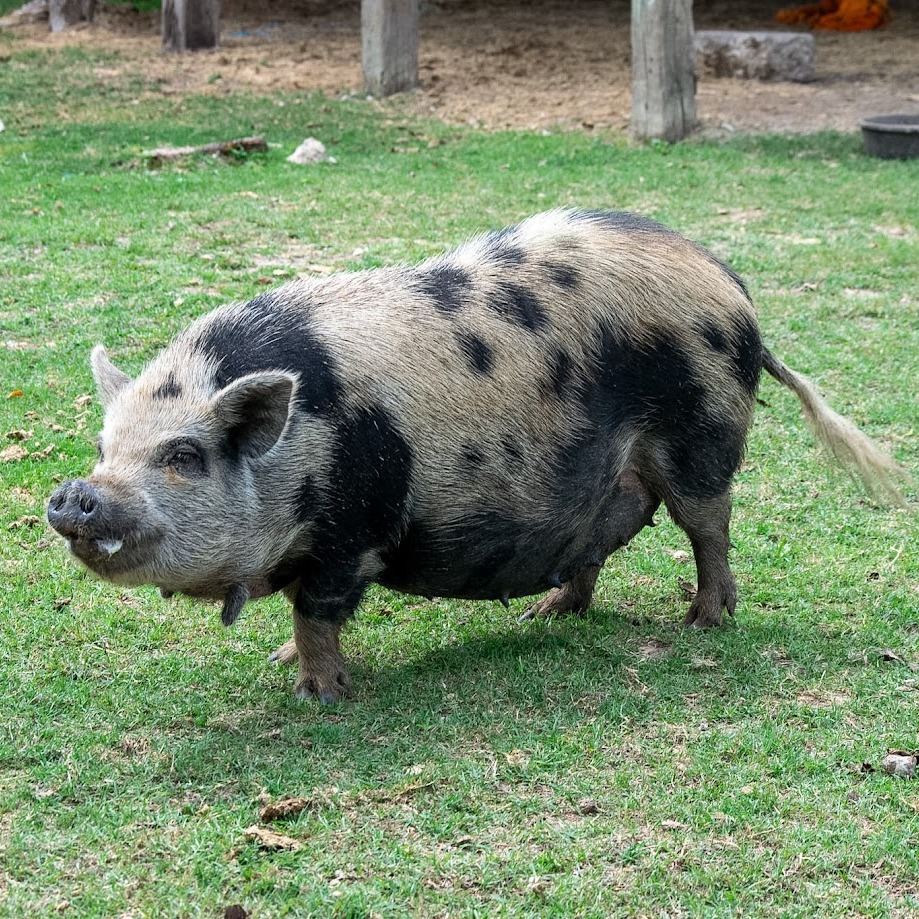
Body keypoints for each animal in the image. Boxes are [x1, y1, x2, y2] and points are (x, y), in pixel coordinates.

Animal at [47, 209, 910, 703]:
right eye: (104, 446)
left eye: (184, 454)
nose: (73, 492)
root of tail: (731, 285)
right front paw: (275, 659)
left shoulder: (352, 530)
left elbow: (317, 611)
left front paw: (316, 693)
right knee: (600, 537)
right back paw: (546, 613)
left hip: (705, 431)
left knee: (709, 526)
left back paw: (701, 622)